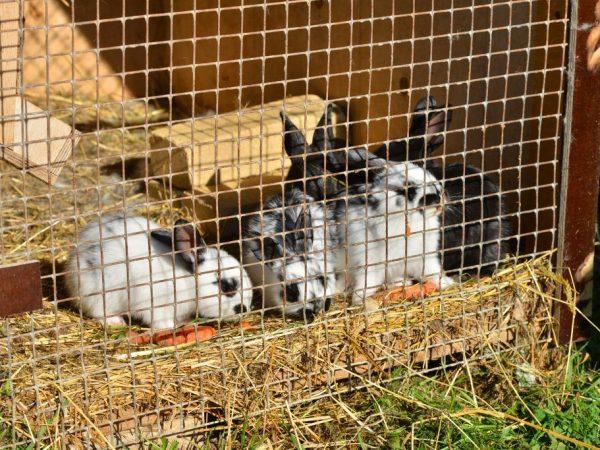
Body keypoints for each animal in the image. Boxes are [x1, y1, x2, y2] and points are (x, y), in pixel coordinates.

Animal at [64, 213, 252, 328]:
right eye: (226, 286)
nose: (244, 309)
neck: (188, 280)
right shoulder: (154, 304)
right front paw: (173, 327)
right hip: (98, 292)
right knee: (98, 311)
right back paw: (116, 321)